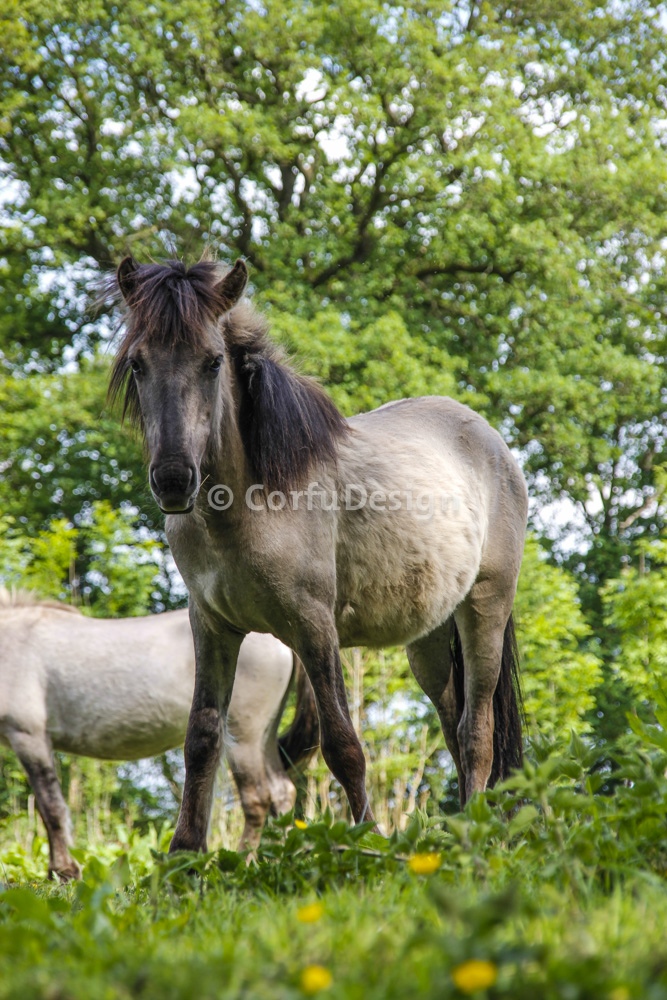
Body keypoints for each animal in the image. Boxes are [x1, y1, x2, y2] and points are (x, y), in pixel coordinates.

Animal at [0, 588, 318, 880]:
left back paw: (241, 861)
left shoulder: (28, 735)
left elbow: (50, 808)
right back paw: (283, 857)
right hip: (264, 736)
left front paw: (64, 871)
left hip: (245, 738)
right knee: (282, 793)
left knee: (257, 799)